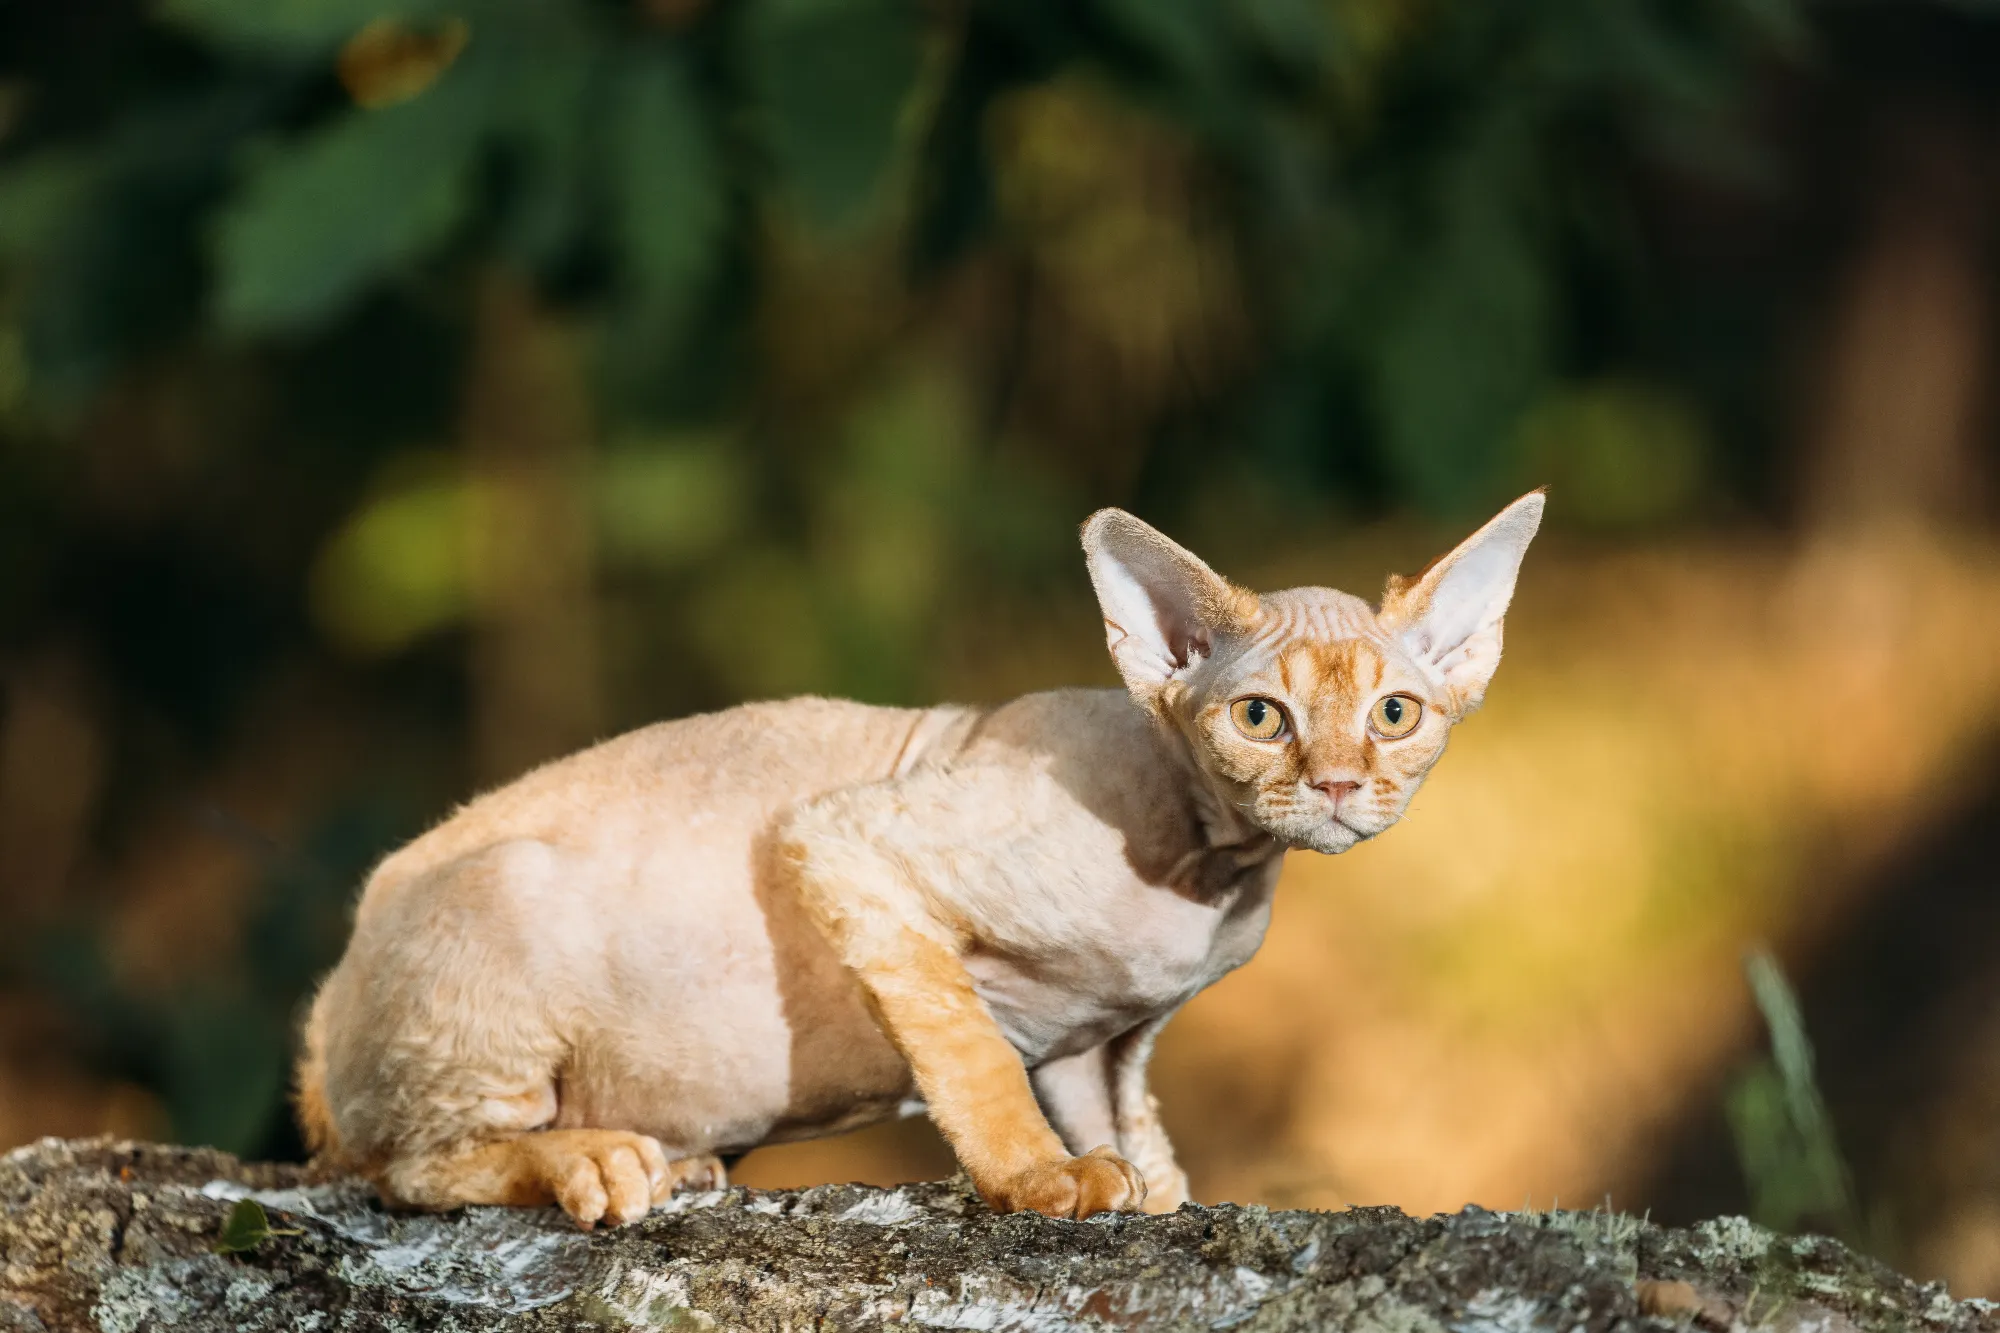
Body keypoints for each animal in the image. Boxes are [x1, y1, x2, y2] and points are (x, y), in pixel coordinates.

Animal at [296, 490, 1544, 1224]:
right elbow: (972, 1053)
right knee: (398, 1166)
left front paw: (1152, 1192)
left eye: (1393, 715)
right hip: (493, 914)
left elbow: (1127, 1117)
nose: (1334, 784)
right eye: (1257, 718)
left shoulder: (1113, 1037)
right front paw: (1036, 1177)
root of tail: (327, 1005)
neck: (1209, 868)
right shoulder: (850, 837)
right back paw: (592, 1159)